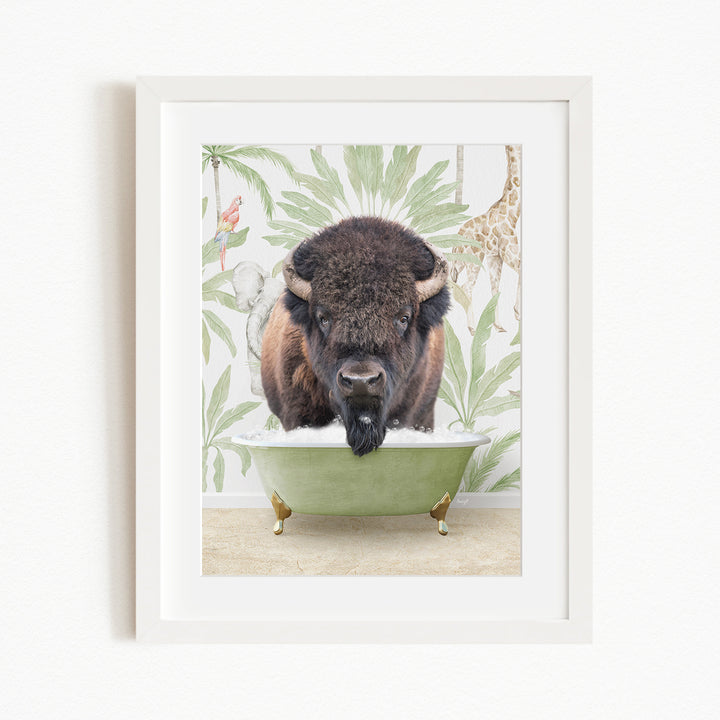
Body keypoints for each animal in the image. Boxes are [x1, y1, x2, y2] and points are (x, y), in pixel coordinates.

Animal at [451, 145, 521, 333]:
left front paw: (499, 325)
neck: (512, 212)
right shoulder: (509, 252)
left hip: (462, 263)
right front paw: (517, 312)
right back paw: (472, 328)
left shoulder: (494, 257)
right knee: (466, 288)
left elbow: (495, 290)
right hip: (474, 260)